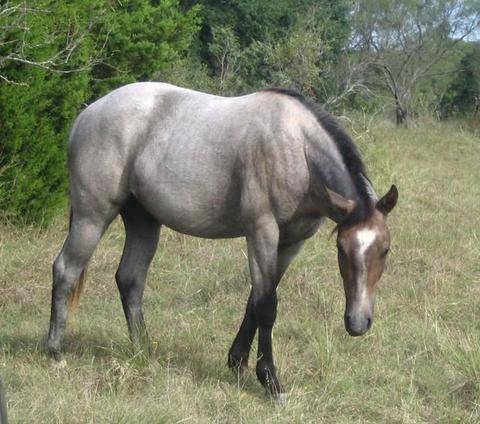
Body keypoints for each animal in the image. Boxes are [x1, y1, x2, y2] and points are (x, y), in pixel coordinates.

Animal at [46, 83, 398, 400]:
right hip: (92, 217)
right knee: (66, 270)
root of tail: (86, 115)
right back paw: (55, 352)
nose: (357, 322)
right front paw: (270, 381)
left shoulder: (291, 241)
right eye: (341, 250)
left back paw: (144, 351)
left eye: (384, 250)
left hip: (143, 220)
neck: (297, 148)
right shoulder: (261, 231)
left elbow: (257, 298)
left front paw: (237, 362)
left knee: (130, 279)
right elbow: (267, 305)